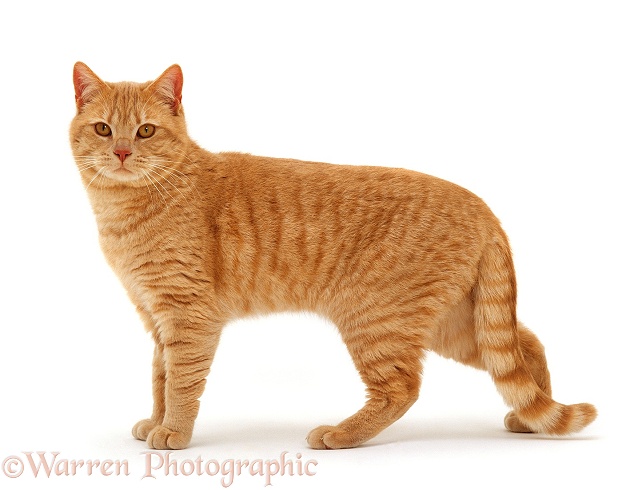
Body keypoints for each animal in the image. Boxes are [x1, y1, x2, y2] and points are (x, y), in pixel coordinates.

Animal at [69, 63, 596, 450]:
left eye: (145, 131)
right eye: (103, 129)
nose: (121, 152)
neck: (126, 211)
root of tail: (483, 207)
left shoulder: (188, 316)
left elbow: (180, 382)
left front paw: (174, 433)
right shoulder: (156, 316)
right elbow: (159, 377)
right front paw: (155, 421)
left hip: (376, 318)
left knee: (403, 388)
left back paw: (340, 434)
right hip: (458, 324)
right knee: (526, 346)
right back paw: (531, 420)